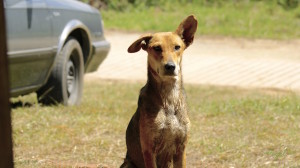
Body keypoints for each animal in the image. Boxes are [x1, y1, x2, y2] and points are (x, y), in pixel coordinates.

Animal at [120, 15, 198, 168]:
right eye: (157, 48)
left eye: (177, 47)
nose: (170, 66)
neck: (169, 99)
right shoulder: (149, 149)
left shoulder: (181, 148)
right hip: (127, 163)